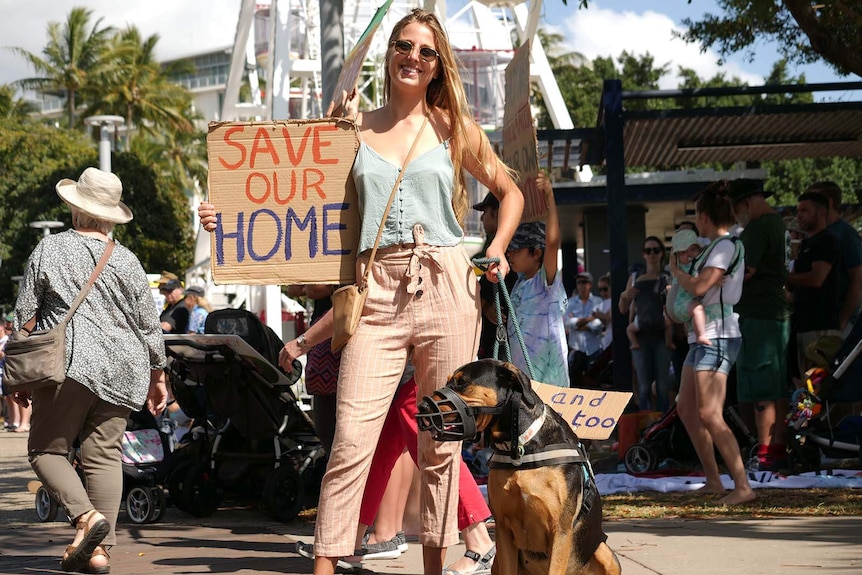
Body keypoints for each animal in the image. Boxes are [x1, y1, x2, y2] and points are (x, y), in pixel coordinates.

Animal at [418, 360, 620, 575]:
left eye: (462, 382)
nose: (421, 406)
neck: (521, 449)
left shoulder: (560, 531)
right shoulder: (503, 529)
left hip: (605, 553)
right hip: (498, 561)